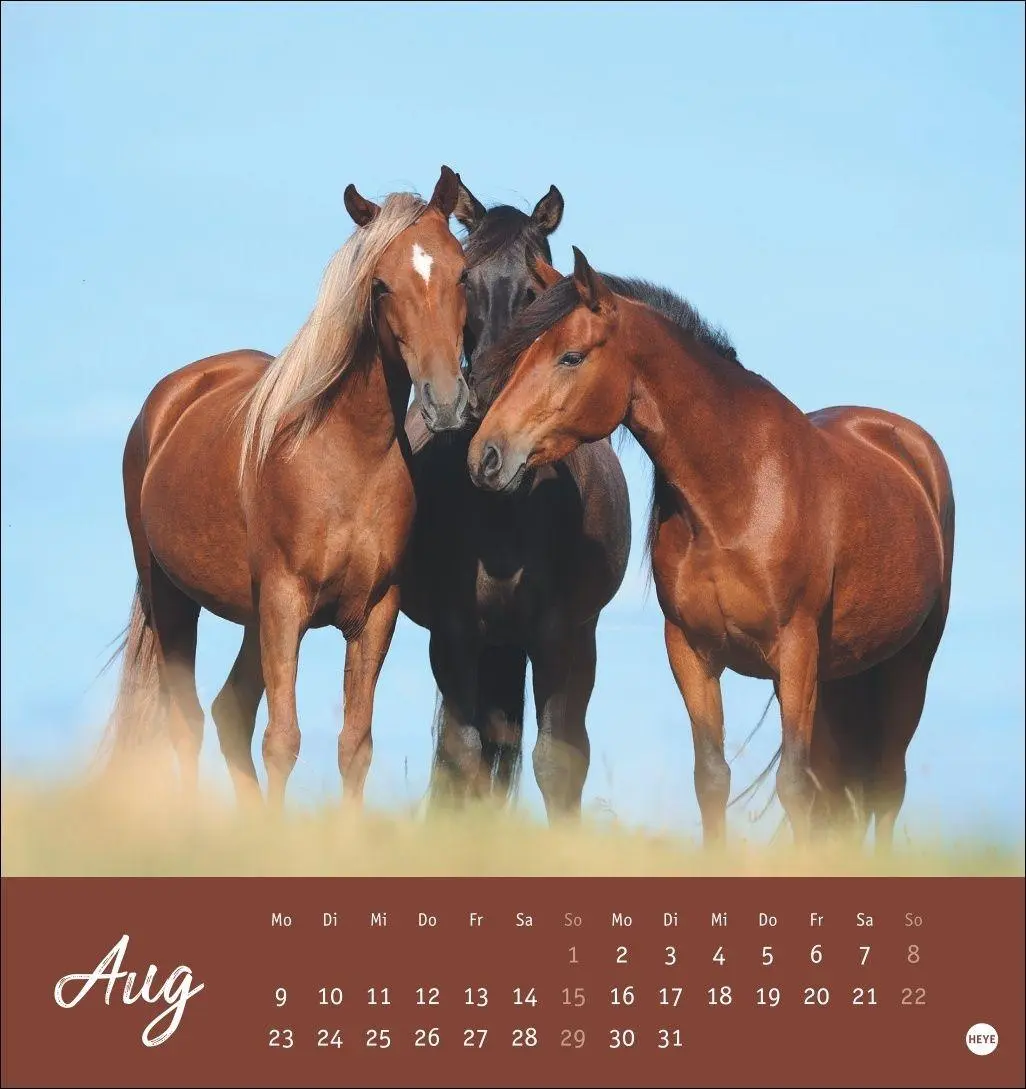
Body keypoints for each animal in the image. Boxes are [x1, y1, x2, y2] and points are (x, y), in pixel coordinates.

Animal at [103, 167, 471, 810]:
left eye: (461, 273)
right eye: (380, 285)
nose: (445, 400)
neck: (347, 458)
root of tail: (173, 396)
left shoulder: (374, 612)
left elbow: (354, 746)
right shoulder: (284, 602)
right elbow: (283, 740)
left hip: (250, 618)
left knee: (227, 714)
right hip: (173, 597)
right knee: (187, 721)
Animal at [399, 179, 631, 819]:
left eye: (535, 291)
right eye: (465, 282)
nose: (483, 402)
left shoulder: (564, 637)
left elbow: (559, 760)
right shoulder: (454, 634)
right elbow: (463, 754)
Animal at [468, 247, 954, 851]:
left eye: (571, 357)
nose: (486, 456)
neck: (736, 497)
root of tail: (905, 443)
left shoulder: (796, 651)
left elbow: (795, 784)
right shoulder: (692, 651)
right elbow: (713, 777)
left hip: (910, 663)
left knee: (887, 784)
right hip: (845, 672)